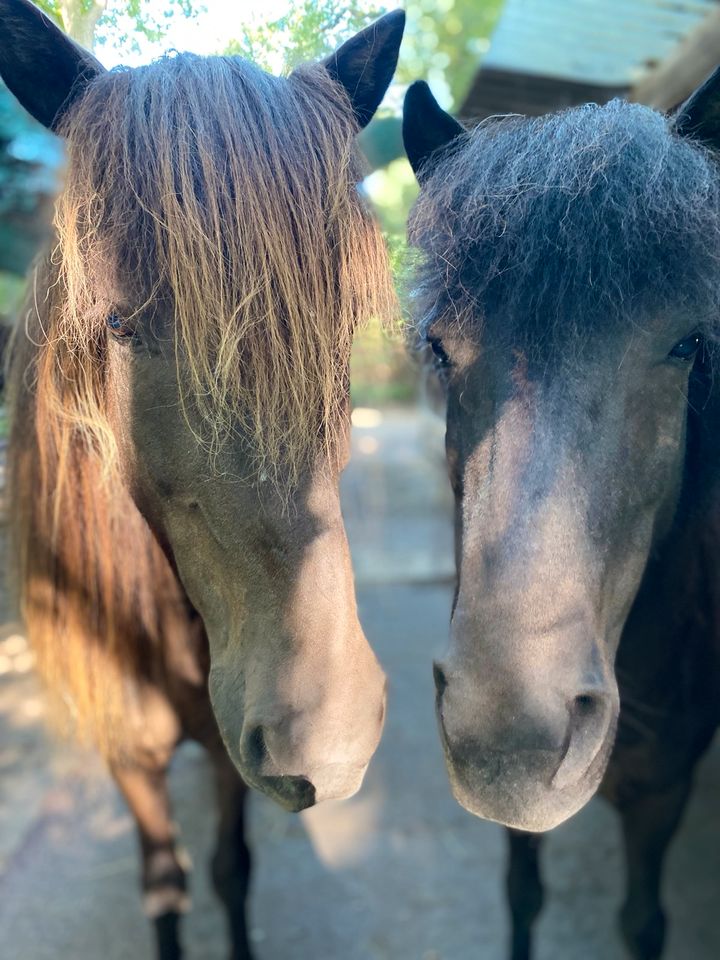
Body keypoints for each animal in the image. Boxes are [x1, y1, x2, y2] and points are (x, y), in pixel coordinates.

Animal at [0, 3, 404, 956]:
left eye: (340, 328)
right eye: (113, 322)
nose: (327, 738)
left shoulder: (229, 755)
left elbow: (230, 871)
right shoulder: (128, 755)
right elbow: (166, 883)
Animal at [402, 69, 720, 960]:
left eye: (688, 343)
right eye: (439, 348)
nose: (508, 746)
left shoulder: (664, 792)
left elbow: (642, 923)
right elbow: (522, 894)